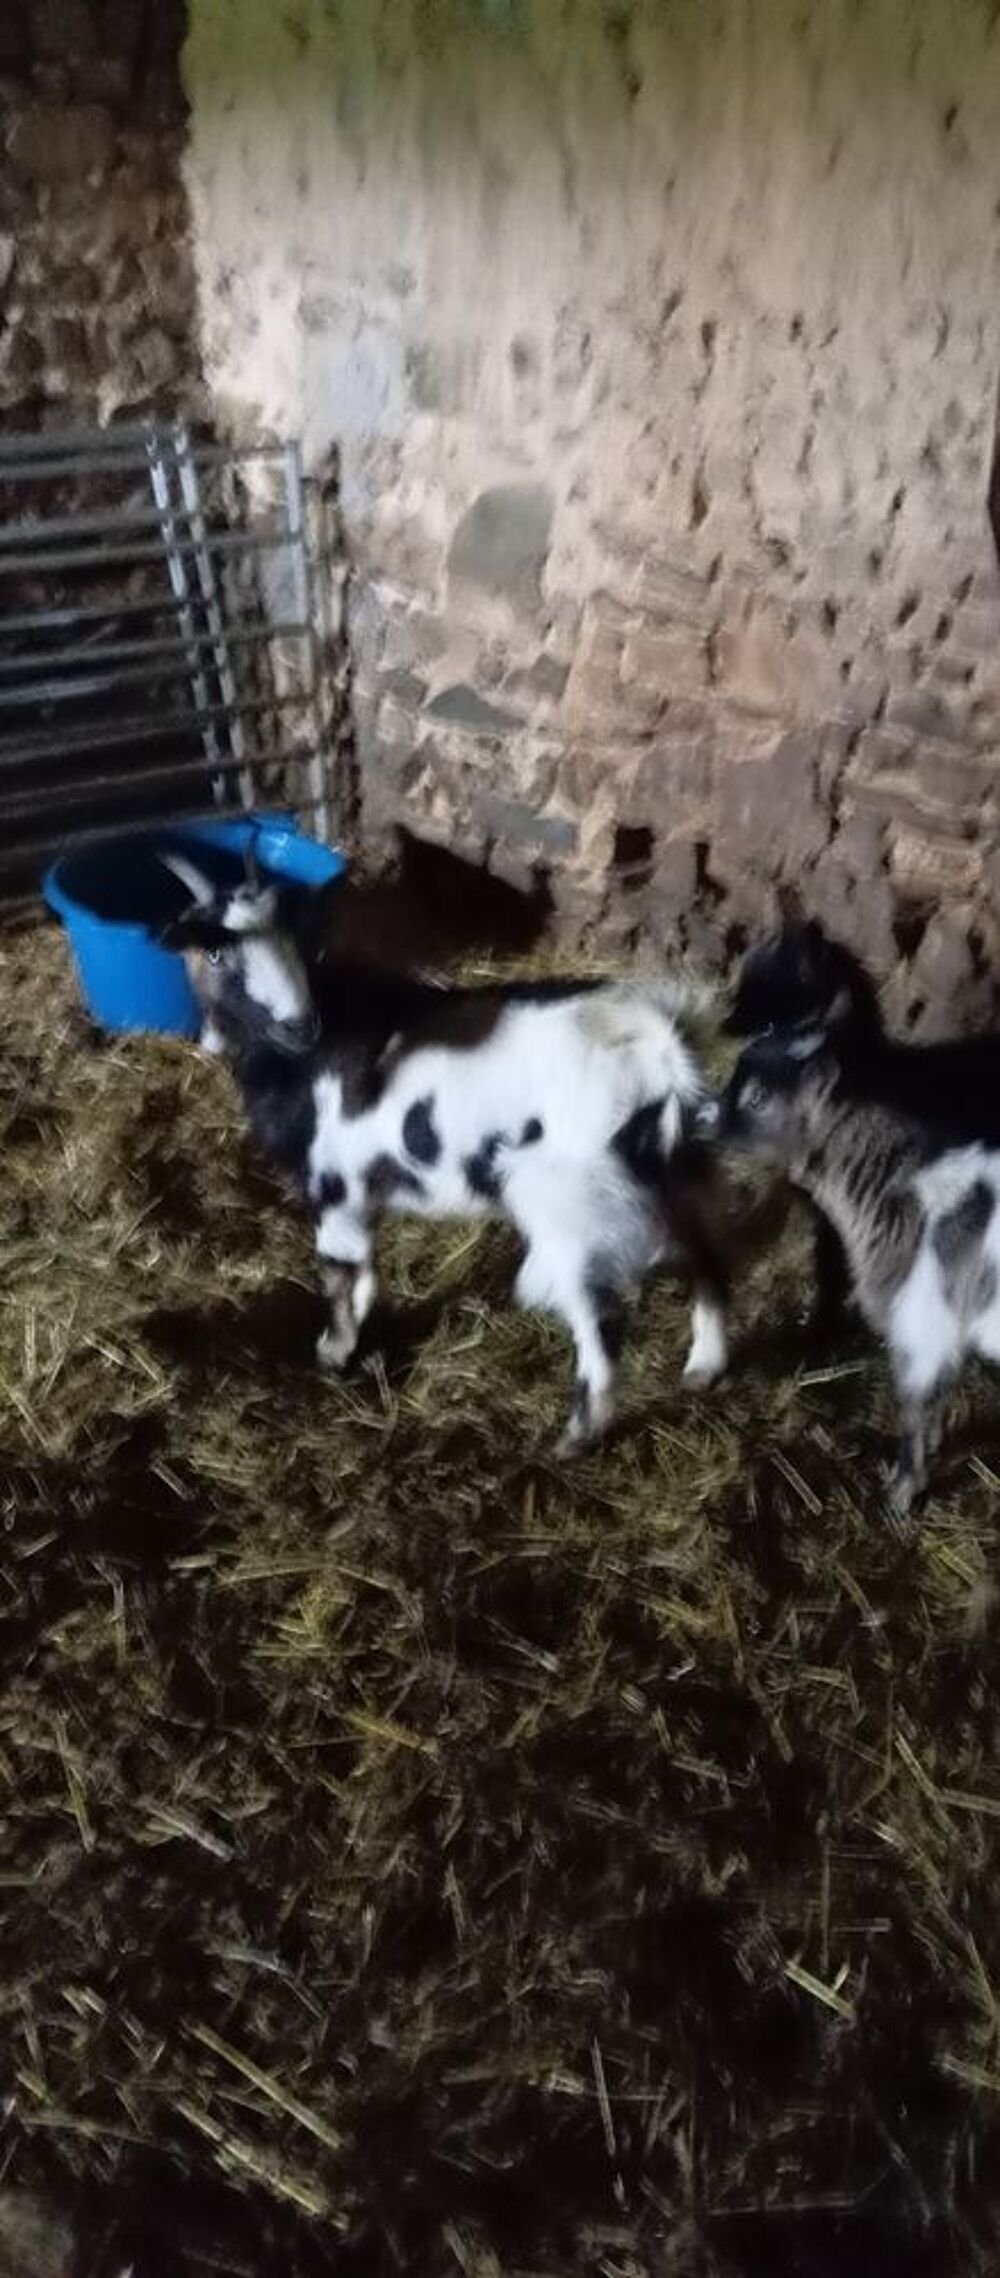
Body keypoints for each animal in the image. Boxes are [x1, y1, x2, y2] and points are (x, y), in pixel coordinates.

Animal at [154, 854, 745, 1453]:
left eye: (291, 940)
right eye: (215, 953)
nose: (297, 1025)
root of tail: (656, 1049)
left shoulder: (335, 1184)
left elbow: (339, 1273)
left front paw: (333, 1353)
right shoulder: (361, 1188)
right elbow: (364, 1272)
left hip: (574, 1205)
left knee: (600, 1315)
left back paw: (575, 1436)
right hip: (678, 1176)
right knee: (708, 1260)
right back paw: (703, 1367)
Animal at [705, 1022, 1000, 1513]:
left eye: (758, 1098)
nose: (703, 1118)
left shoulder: (921, 1322)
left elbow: (915, 1407)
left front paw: (901, 1494)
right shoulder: (940, 1330)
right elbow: (936, 1400)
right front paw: (933, 1450)